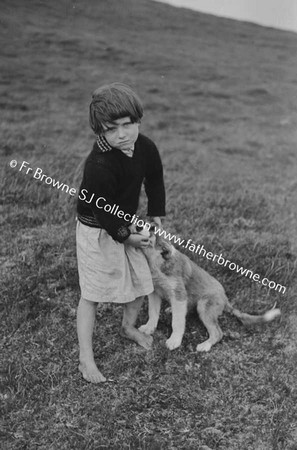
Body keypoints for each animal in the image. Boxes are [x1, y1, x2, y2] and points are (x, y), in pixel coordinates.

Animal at [138, 232, 280, 352]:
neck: (157, 262)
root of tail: (225, 299)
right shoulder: (155, 292)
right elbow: (153, 312)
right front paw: (149, 328)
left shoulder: (179, 294)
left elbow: (177, 322)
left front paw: (174, 341)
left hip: (204, 305)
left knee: (218, 333)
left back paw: (205, 345)